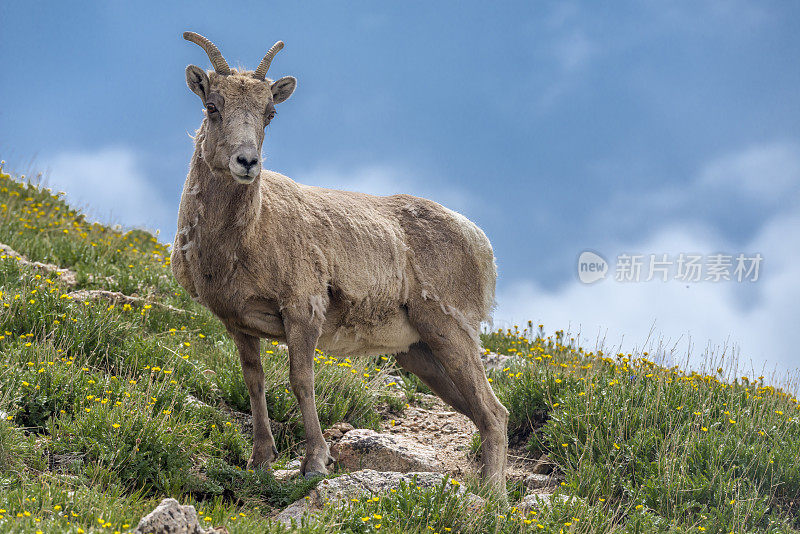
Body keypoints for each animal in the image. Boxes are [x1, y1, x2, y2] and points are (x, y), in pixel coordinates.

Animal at [173, 30, 510, 490]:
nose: (246, 162)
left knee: (494, 413)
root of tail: (479, 241)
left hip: (451, 329)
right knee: (483, 413)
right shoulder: (239, 324)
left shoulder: (303, 312)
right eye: (212, 107)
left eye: (269, 114)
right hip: (421, 353)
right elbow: (254, 383)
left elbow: (301, 382)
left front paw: (315, 463)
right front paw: (259, 462)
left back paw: (491, 498)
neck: (246, 238)